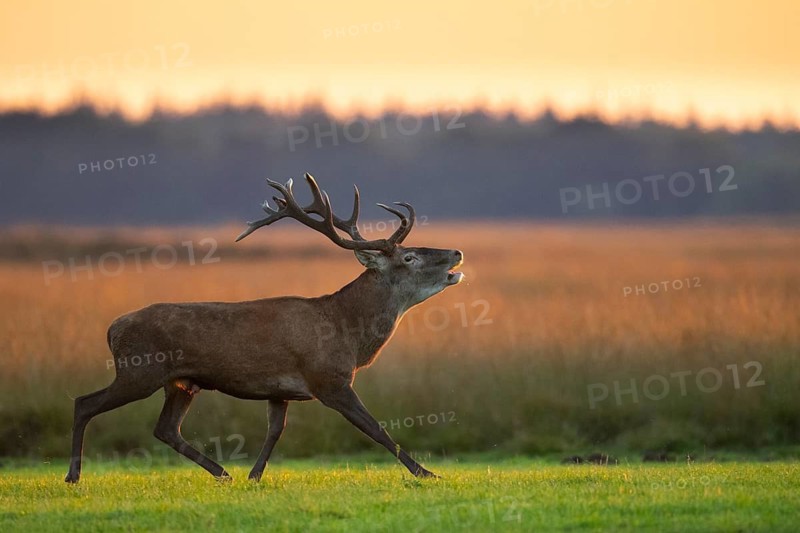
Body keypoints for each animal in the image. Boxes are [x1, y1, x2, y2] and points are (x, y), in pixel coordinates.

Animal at [65, 173, 464, 483]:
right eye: (409, 257)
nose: (457, 253)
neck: (347, 331)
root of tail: (112, 328)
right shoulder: (327, 378)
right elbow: (375, 428)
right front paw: (426, 472)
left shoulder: (280, 390)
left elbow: (275, 431)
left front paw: (254, 476)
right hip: (139, 370)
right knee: (85, 402)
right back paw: (73, 475)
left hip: (181, 381)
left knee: (165, 428)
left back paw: (223, 472)